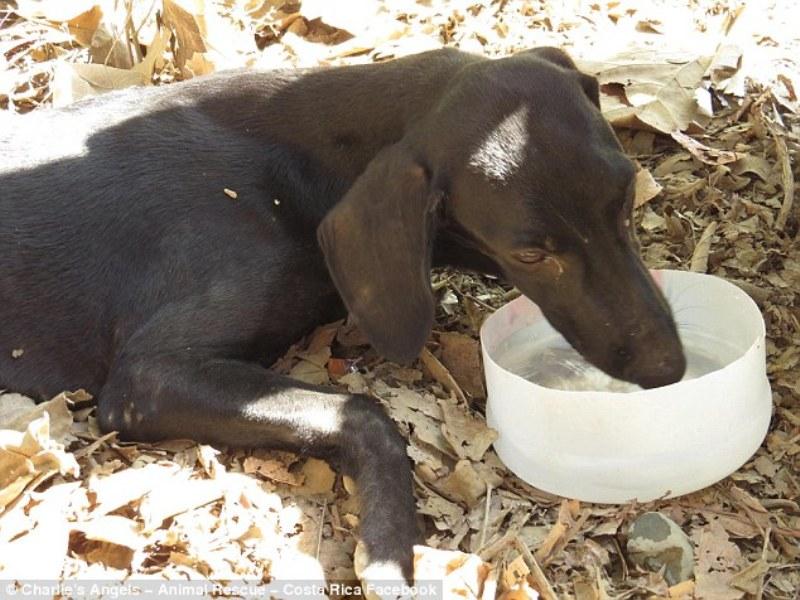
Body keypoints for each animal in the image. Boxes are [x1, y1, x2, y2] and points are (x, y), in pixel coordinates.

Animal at [1, 48, 688, 584]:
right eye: (531, 254)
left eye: (627, 196)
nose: (669, 369)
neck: (299, 163)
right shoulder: (146, 378)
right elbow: (365, 414)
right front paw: (389, 548)